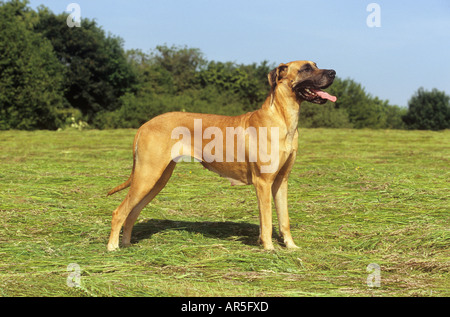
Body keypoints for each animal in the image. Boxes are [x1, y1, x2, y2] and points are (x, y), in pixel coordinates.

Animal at [107, 61, 336, 249]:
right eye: (306, 68)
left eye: (316, 64)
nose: (333, 72)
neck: (282, 118)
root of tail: (144, 125)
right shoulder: (263, 183)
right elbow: (267, 221)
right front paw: (269, 248)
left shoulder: (281, 181)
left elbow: (283, 219)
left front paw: (290, 246)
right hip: (147, 175)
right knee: (119, 212)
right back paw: (113, 248)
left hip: (157, 179)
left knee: (132, 213)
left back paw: (126, 244)